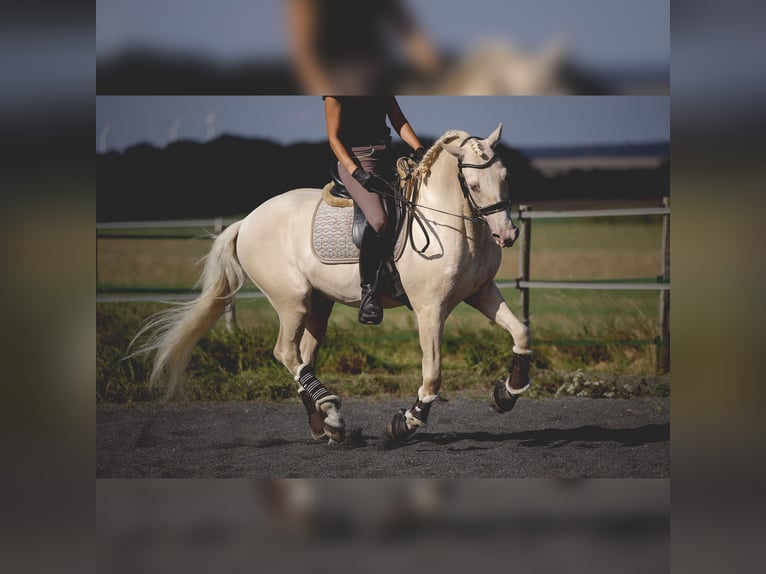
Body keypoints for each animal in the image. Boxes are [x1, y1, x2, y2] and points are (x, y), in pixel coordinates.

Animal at [132, 125, 536, 450]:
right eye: (474, 185)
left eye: (505, 175)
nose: (507, 235)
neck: (453, 223)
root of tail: (246, 221)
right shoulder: (429, 309)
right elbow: (433, 374)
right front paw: (403, 425)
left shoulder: (481, 292)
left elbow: (521, 332)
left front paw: (508, 392)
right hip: (291, 301)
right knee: (286, 352)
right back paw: (332, 413)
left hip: (318, 306)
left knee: (303, 357)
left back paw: (327, 425)